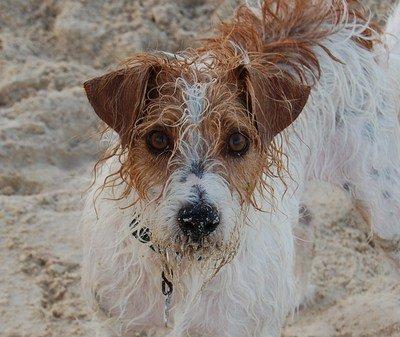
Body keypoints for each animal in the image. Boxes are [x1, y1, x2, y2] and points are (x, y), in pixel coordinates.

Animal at [81, 1, 400, 334]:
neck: (185, 269)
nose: (198, 218)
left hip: (384, 212)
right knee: (305, 220)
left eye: (237, 141)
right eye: (157, 139)